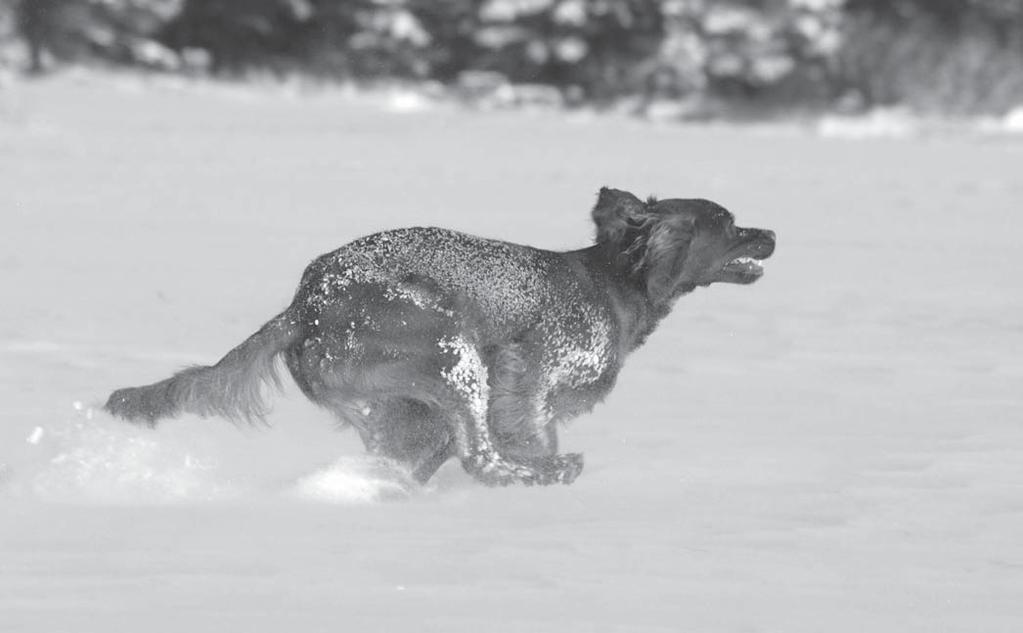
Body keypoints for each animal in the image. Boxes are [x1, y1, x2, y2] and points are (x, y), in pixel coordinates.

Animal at [103, 187, 773, 484]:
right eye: (728, 224)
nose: (771, 234)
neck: (617, 284)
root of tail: (305, 304)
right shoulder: (527, 373)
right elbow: (533, 429)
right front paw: (545, 464)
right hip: (451, 350)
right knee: (481, 458)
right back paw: (545, 474)